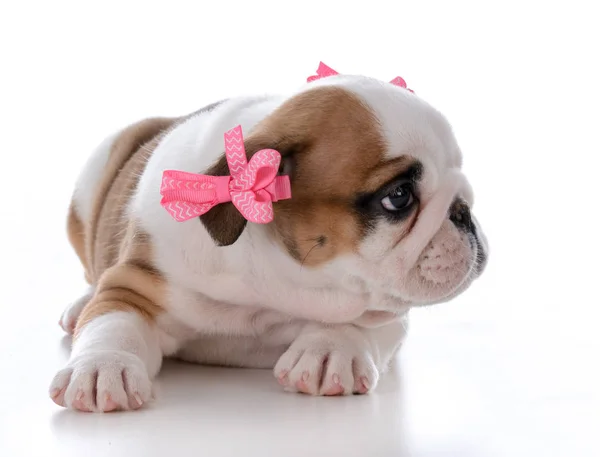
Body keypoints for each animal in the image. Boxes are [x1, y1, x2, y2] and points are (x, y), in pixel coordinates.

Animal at [48, 65, 488, 414]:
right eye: (398, 195)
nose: (463, 211)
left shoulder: (387, 307)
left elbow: (364, 318)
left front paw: (332, 349)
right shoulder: (138, 281)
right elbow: (113, 321)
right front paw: (101, 367)